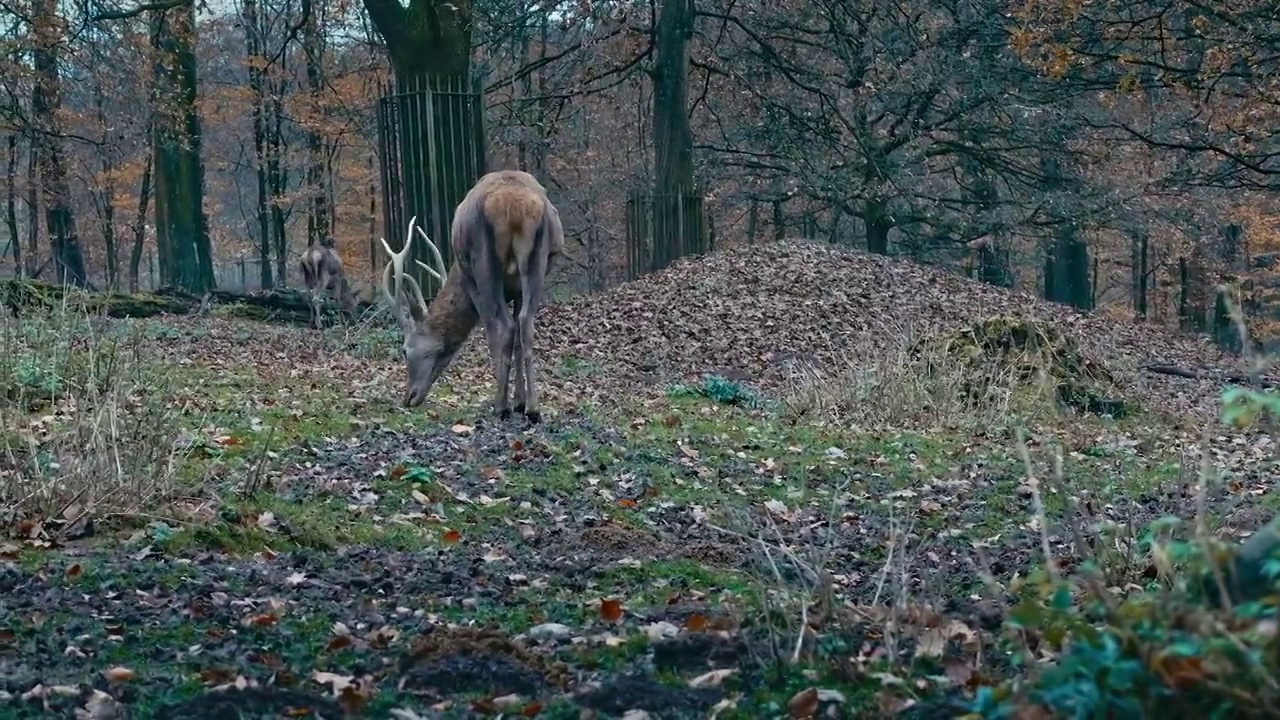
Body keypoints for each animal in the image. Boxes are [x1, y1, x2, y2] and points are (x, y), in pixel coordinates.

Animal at [376, 169, 563, 420]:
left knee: (502, 327)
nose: (409, 397)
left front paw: (507, 401)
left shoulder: (472, 281)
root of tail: (514, 205)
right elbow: (517, 339)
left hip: (482, 261)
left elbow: (495, 335)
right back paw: (533, 409)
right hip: (538, 261)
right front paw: (519, 402)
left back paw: (500, 406)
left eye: (405, 350)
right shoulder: (517, 291)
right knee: (525, 324)